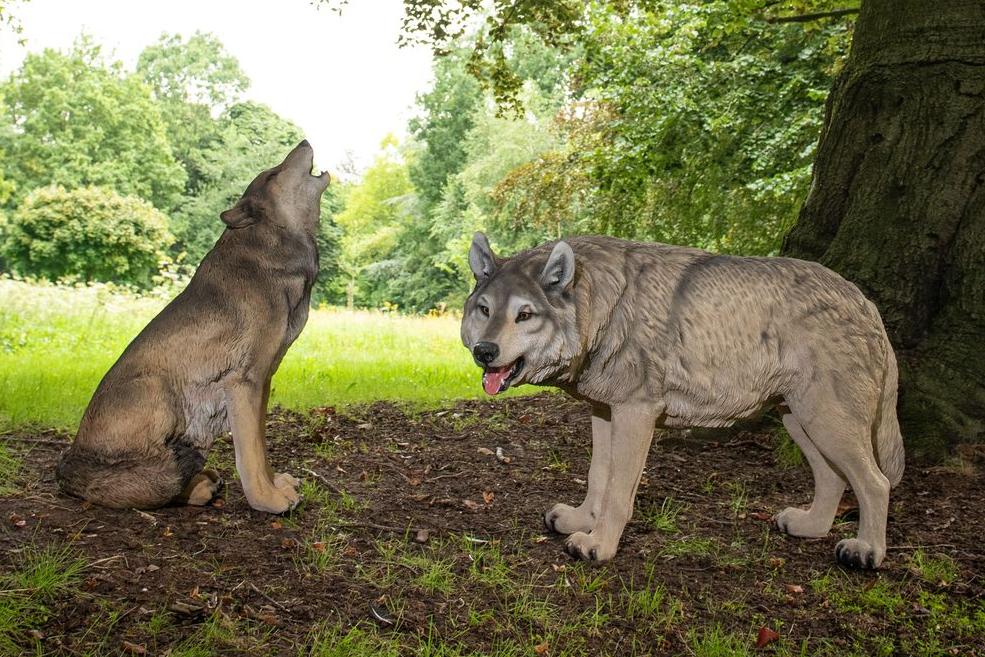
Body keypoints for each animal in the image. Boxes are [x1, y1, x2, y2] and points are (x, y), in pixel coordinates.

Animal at [56, 141, 330, 514]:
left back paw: (200, 483)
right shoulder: (243, 383)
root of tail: (68, 468)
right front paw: (267, 499)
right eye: (274, 174)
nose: (303, 142)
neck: (270, 245)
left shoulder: (263, 383)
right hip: (158, 389)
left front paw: (276, 486)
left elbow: (261, 447)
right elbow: (251, 456)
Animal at [461, 233, 904, 569]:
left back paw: (867, 551)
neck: (602, 308)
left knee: (876, 482)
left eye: (524, 315)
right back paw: (811, 527)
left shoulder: (635, 413)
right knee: (834, 477)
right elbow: (597, 476)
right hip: (799, 419)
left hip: (826, 421)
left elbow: (618, 492)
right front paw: (580, 520)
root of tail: (865, 302)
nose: (484, 351)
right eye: (484, 309)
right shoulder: (603, 411)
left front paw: (599, 545)